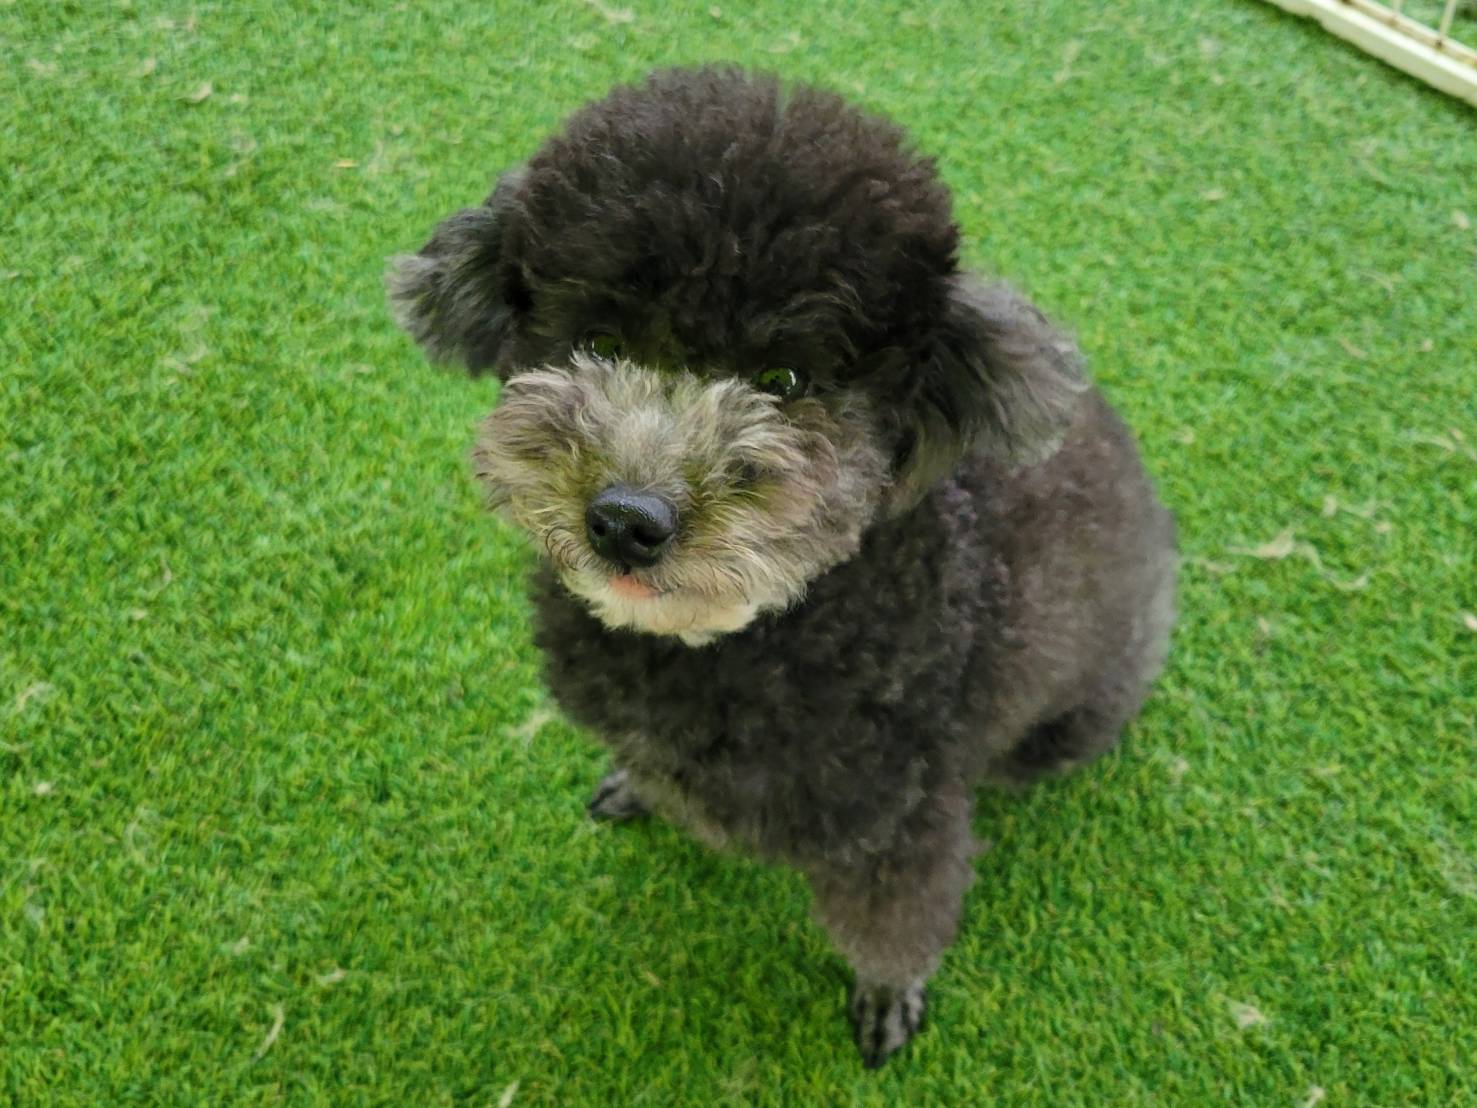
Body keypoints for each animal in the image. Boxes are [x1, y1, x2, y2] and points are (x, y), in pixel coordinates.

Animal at [389, 65, 1176, 1068]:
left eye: (785, 382)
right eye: (598, 340)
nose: (625, 520)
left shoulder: (898, 825)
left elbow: (893, 928)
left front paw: (887, 995)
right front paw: (637, 787)